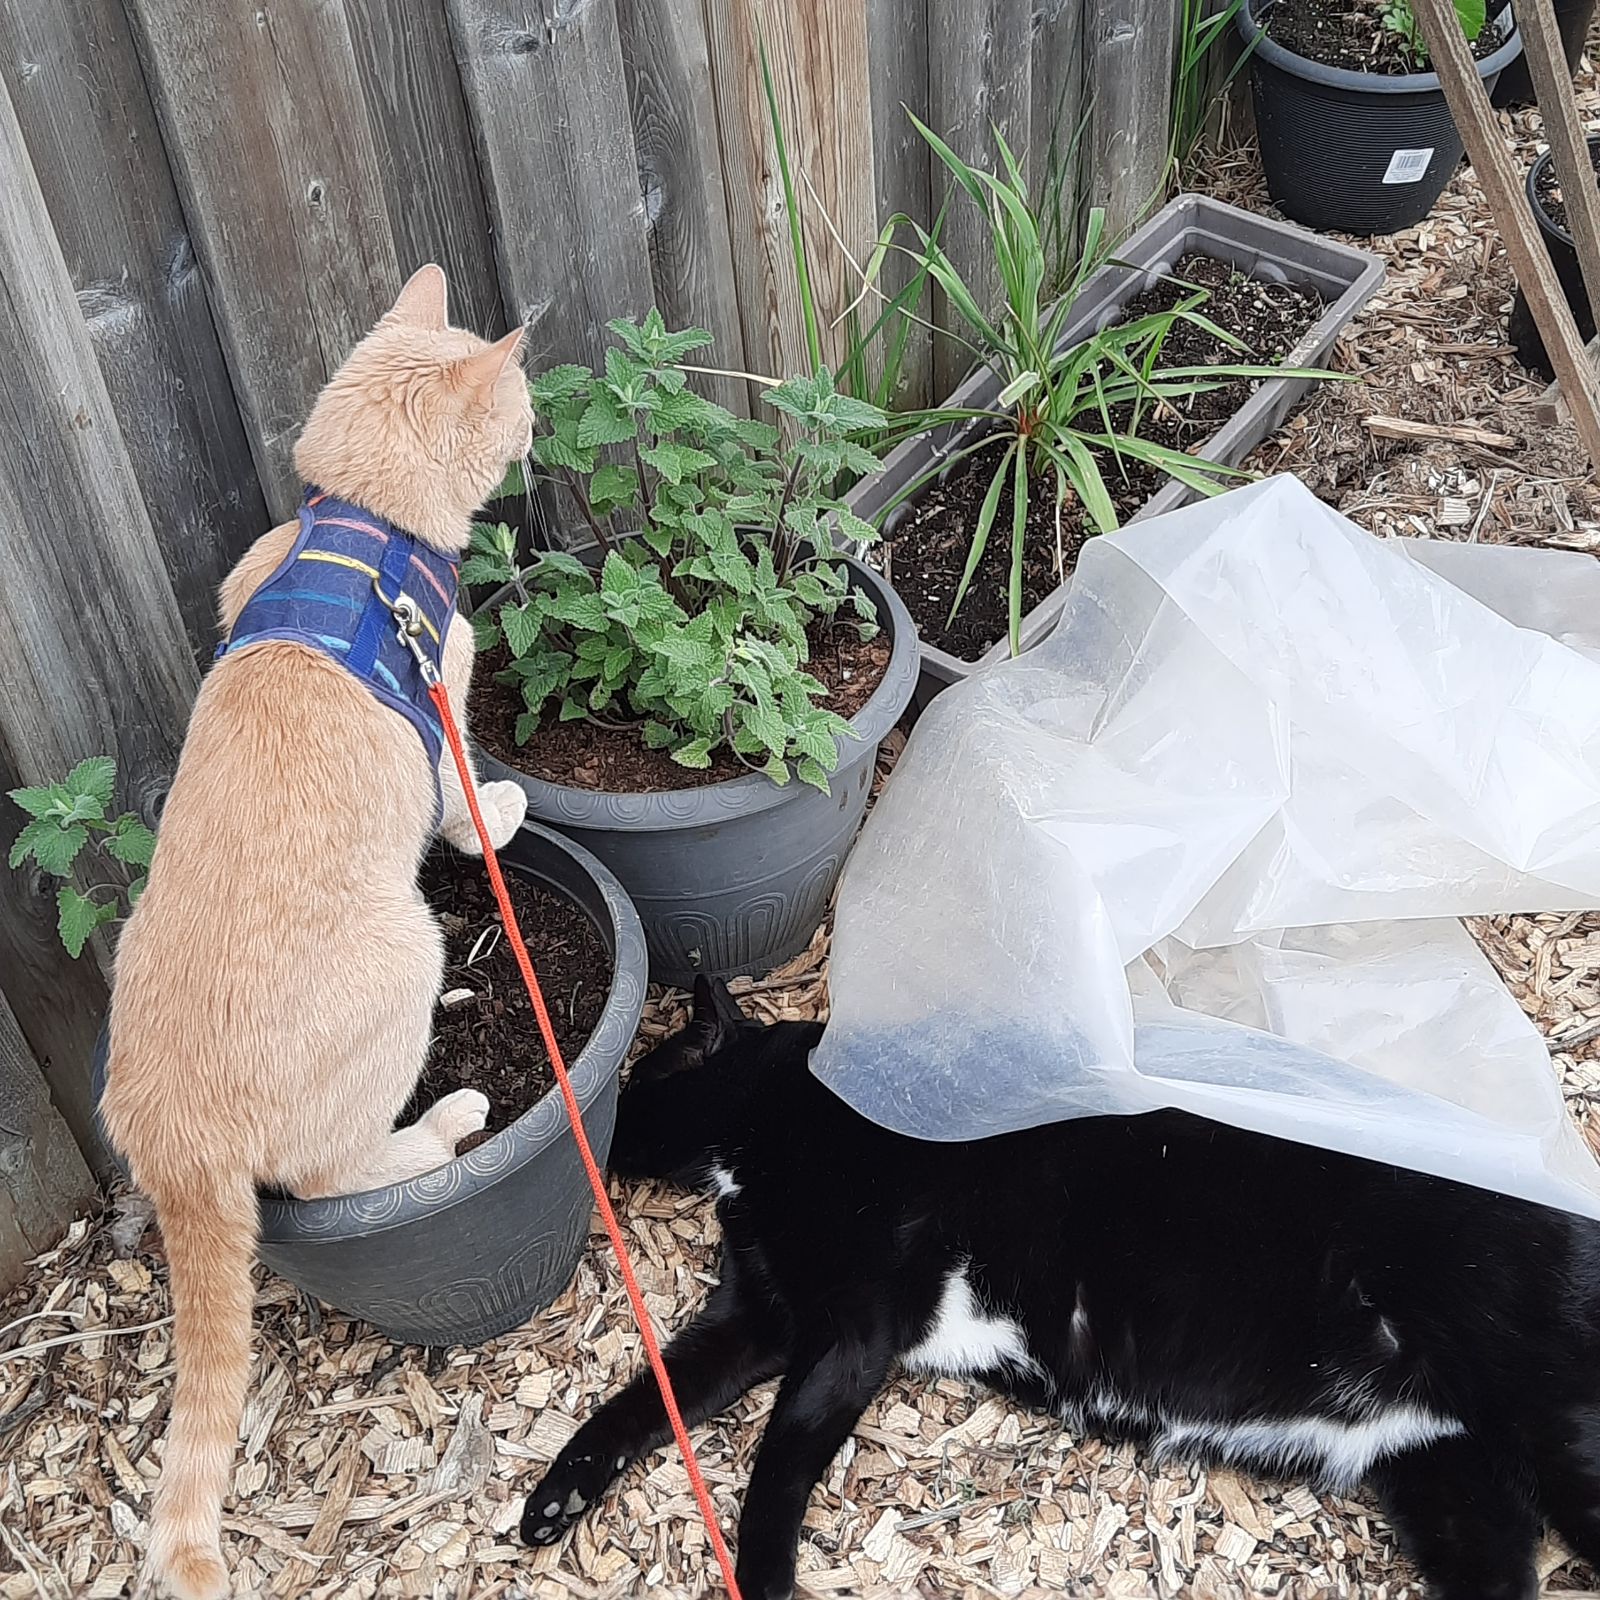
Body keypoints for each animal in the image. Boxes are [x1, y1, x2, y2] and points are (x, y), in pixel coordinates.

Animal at [104, 265, 531, 1600]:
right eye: (521, 403)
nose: (539, 425)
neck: (354, 526)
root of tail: (167, 1132)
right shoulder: (443, 683)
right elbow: (460, 798)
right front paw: (499, 813)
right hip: (409, 949)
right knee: (329, 1174)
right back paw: (445, 1122)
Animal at [524, 972, 1600, 1600]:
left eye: (637, 1080)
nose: (595, 1134)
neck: (768, 1130)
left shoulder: (852, 1330)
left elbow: (776, 1463)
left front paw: (762, 1573)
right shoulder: (758, 1317)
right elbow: (642, 1400)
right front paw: (556, 1496)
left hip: (1553, 1430)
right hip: (1446, 1476)